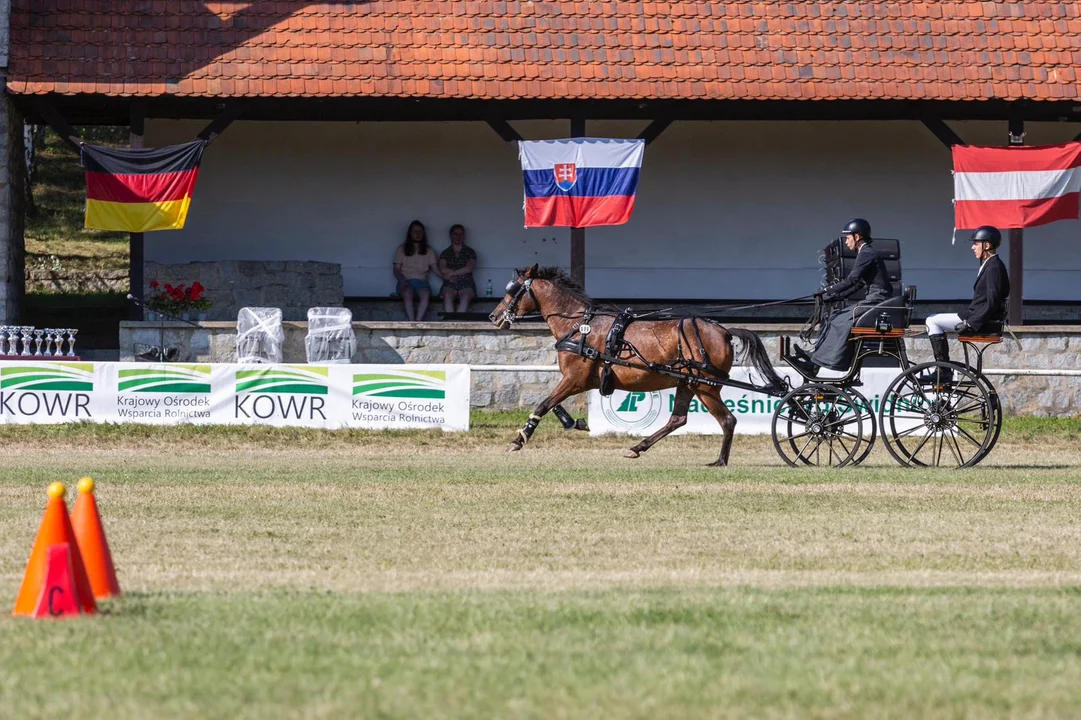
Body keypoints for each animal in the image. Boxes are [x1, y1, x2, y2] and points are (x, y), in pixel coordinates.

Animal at [490, 264, 786, 464]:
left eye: (513, 290)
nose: (494, 316)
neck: (578, 326)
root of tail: (723, 331)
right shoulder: (575, 380)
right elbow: (552, 404)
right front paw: (574, 422)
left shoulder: (575, 379)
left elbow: (543, 404)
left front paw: (519, 439)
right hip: (688, 383)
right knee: (678, 419)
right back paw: (638, 448)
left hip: (706, 386)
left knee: (727, 420)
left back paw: (720, 460)